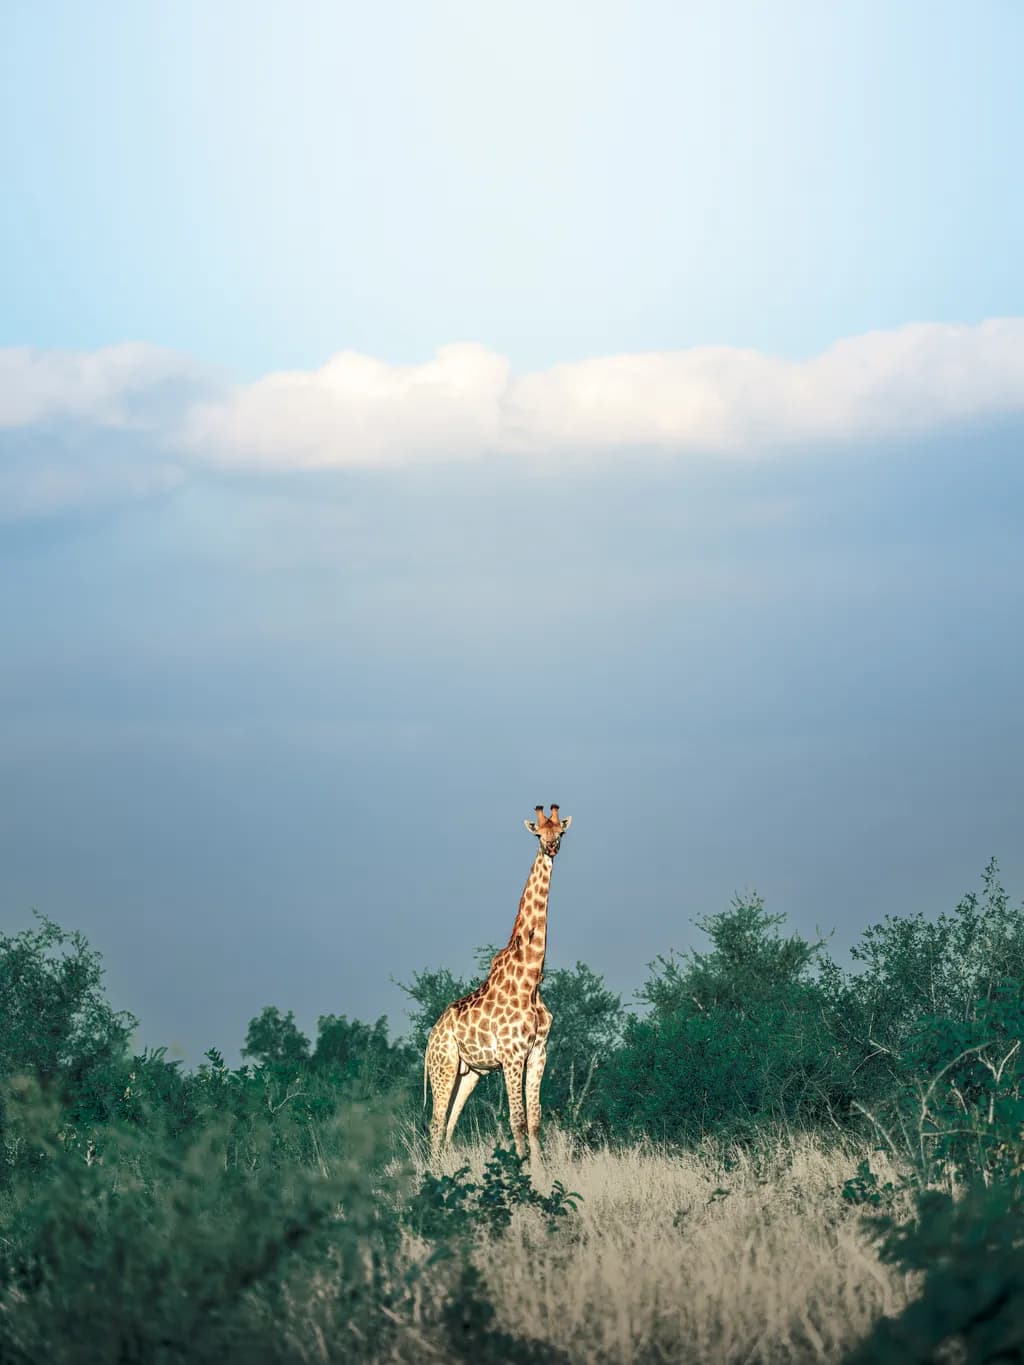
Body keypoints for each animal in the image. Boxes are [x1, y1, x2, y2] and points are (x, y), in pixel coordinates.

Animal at [424, 804, 572, 1165]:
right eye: (539, 834)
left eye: (560, 831)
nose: (552, 847)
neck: (531, 978)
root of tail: (430, 1038)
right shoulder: (511, 1055)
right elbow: (516, 1119)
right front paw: (522, 1173)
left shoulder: (538, 1052)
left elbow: (534, 1120)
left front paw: (540, 1172)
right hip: (443, 1067)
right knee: (435, 1124)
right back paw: (430, 1174)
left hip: (469, 1073)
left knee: (449, 1124)